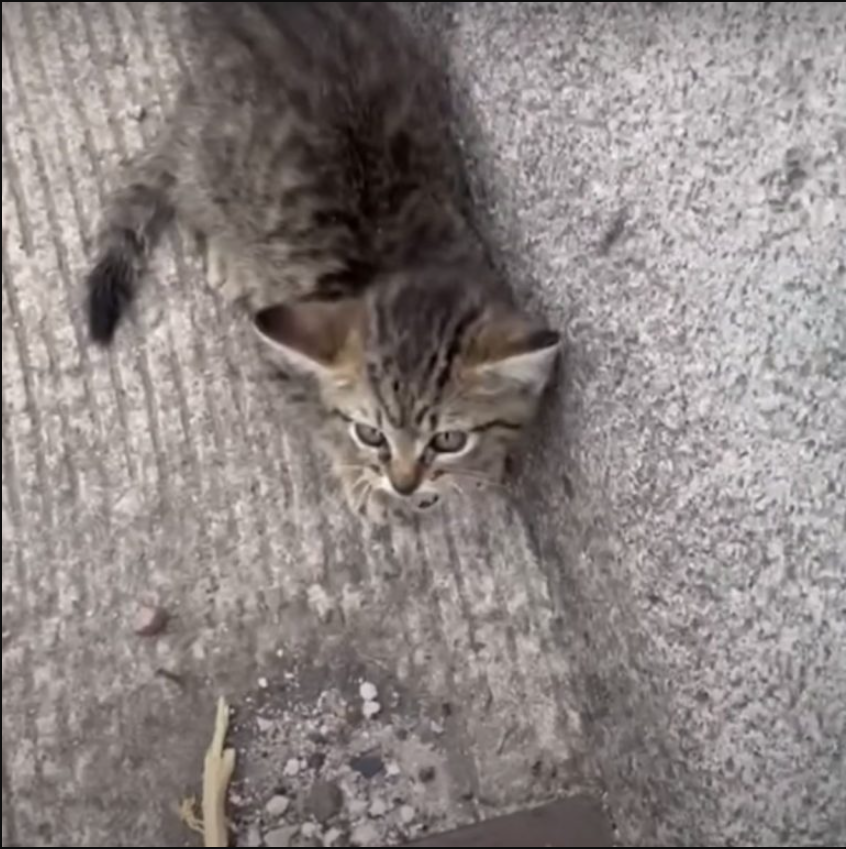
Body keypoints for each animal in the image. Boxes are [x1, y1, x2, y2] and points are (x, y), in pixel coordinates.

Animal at [84, 3, 564, 524]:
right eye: (370, 433)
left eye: (448, 439)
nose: (403, 483)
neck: (399, 262)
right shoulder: (279, 361)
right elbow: (316, 416)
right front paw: (361, 479)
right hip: (212, 168)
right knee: (188, 190)